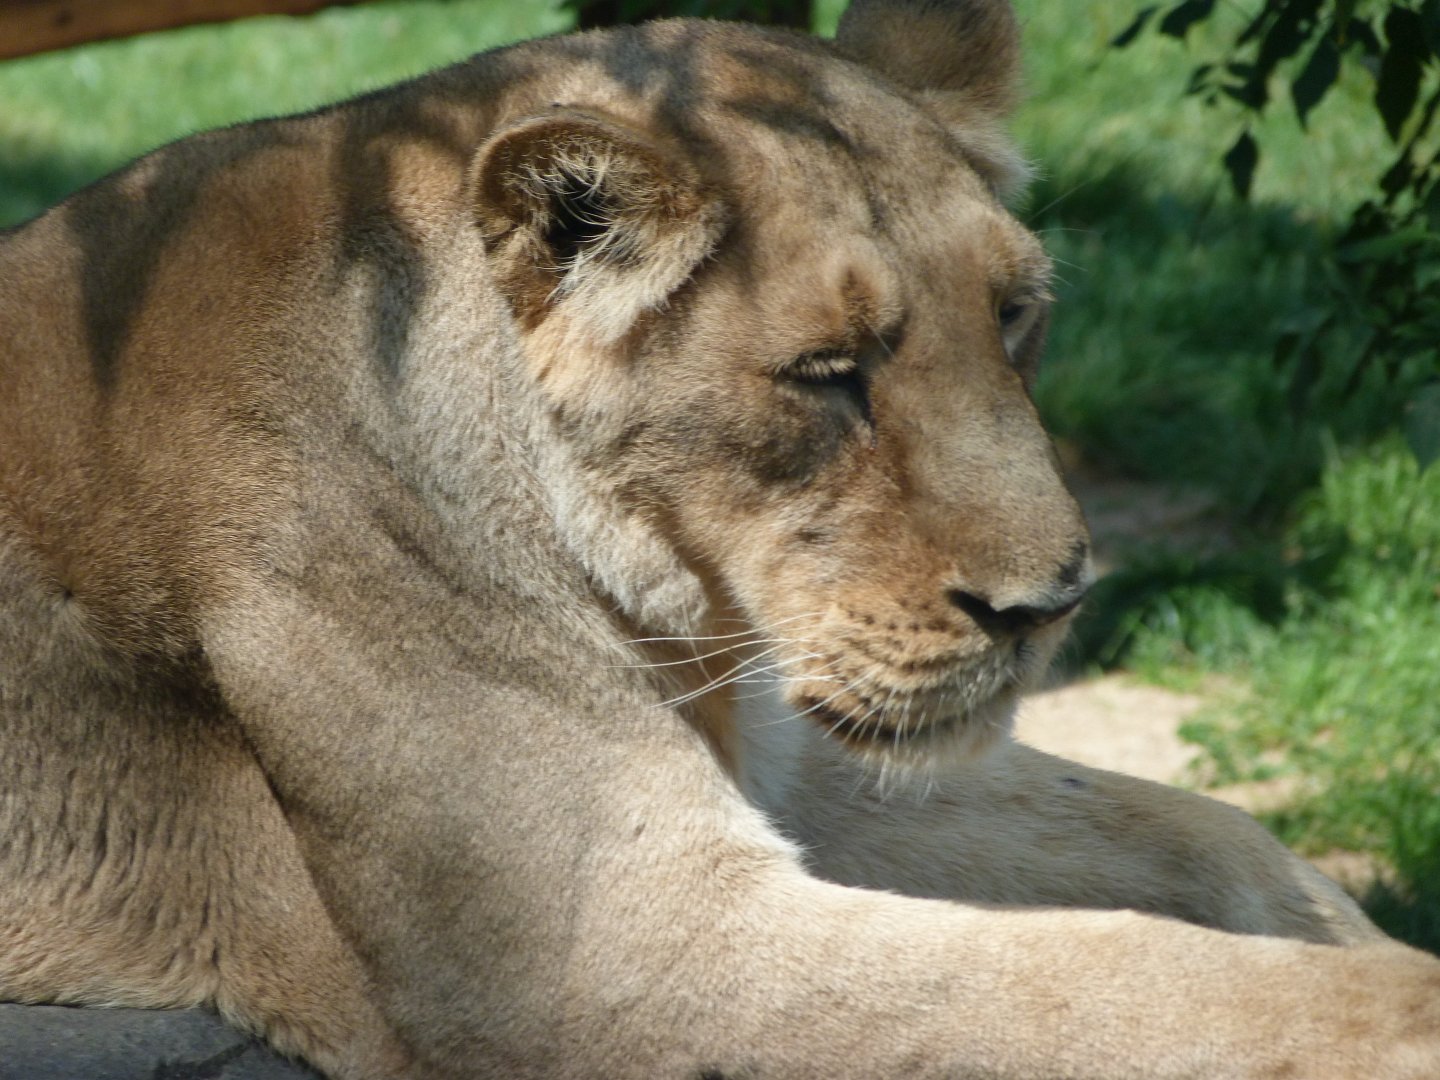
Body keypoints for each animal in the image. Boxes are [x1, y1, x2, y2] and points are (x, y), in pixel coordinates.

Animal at [1, 1, 1437, 1076]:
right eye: (828, 374)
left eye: (1016, 312)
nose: (1049, 610)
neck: (691, 616)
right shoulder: (600, 957)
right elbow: (1118, 980)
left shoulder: (795, 761)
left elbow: (1210, 835)